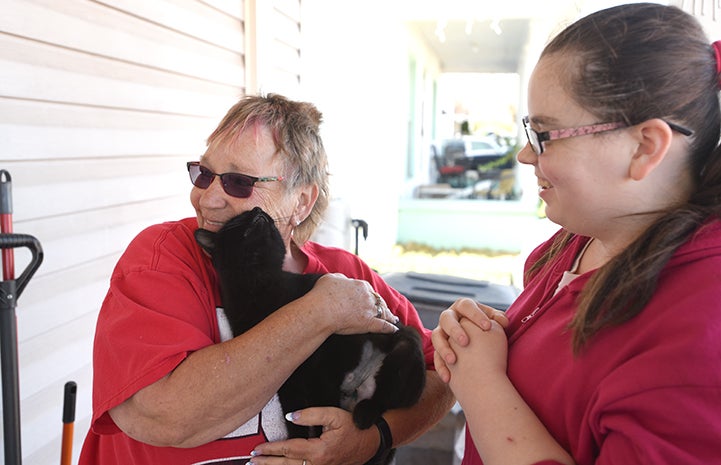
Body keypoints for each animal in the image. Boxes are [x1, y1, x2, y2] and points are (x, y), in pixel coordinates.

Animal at [194, 208, 424, 464]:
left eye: (255, 215)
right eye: (239, 220)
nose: (257, 211)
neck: (259, 283)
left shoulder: (324, 369)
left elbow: (322, 413)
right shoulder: (287, 380)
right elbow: (293, 417)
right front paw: (297, 445)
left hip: (405, 345)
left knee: (388, 401)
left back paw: (364, 414)